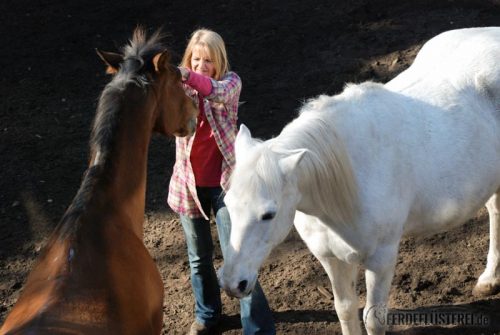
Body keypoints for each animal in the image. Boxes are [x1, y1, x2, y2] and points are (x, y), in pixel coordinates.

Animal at [219, 26, 500, 335]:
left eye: (269, 214)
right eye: (228, 204)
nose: (232, 283)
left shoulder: (381, 259)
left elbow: (373, 318)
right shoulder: (330, 258)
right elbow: (345, 309)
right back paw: (489, 280)